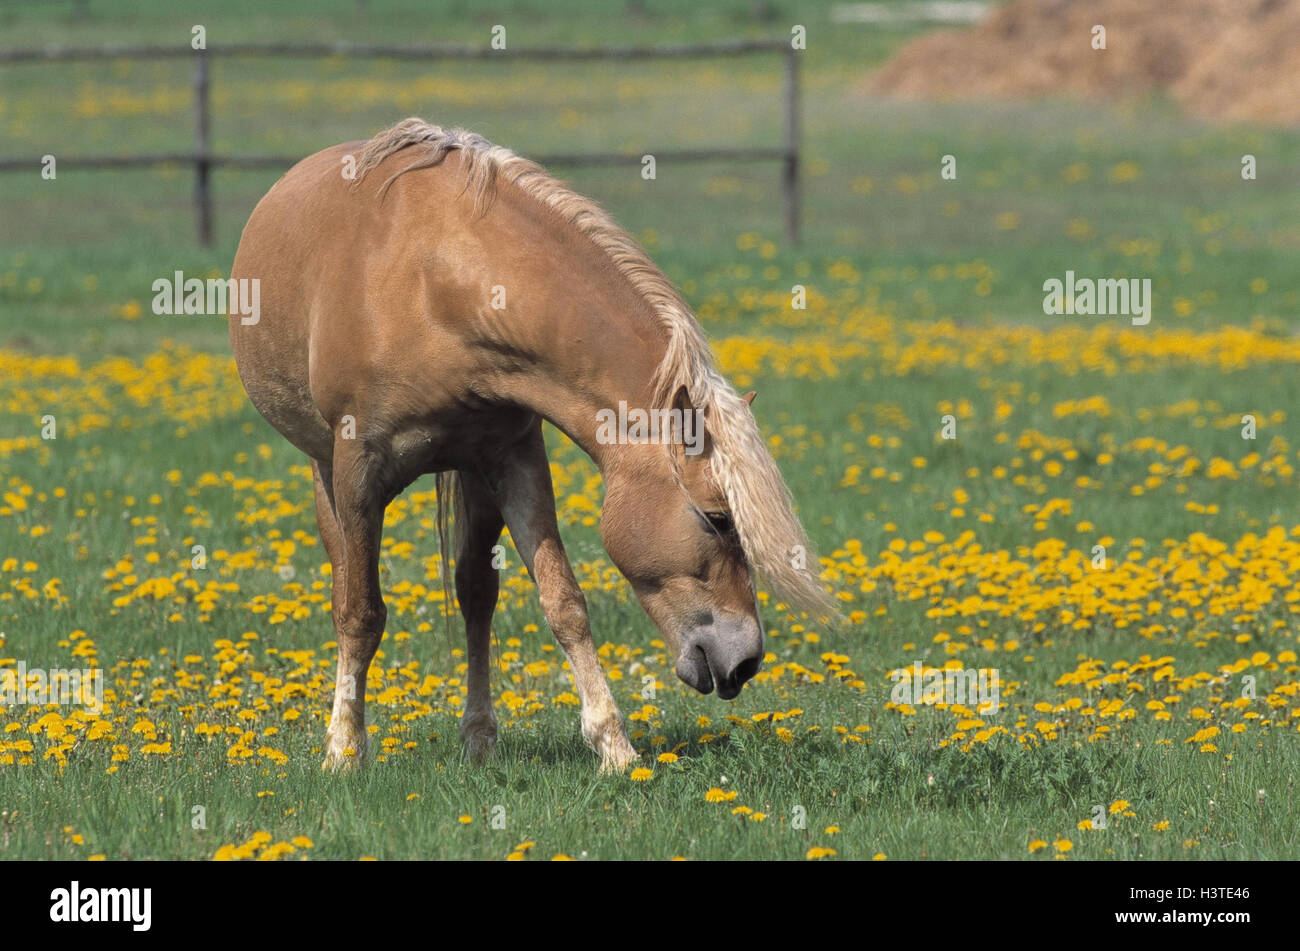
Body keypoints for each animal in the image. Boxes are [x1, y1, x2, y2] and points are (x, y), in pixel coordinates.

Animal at [230, 118, 837, 774]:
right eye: (719, 518)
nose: (746, 662)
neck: (433, 283)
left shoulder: (514, 460)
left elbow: (563, 602)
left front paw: (615, 748)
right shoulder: (358, 471)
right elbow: (361, 613)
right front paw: (343, 752)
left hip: (472, 475)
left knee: (475, 594)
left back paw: (479, 738)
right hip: (325, 473)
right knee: (350, 584)